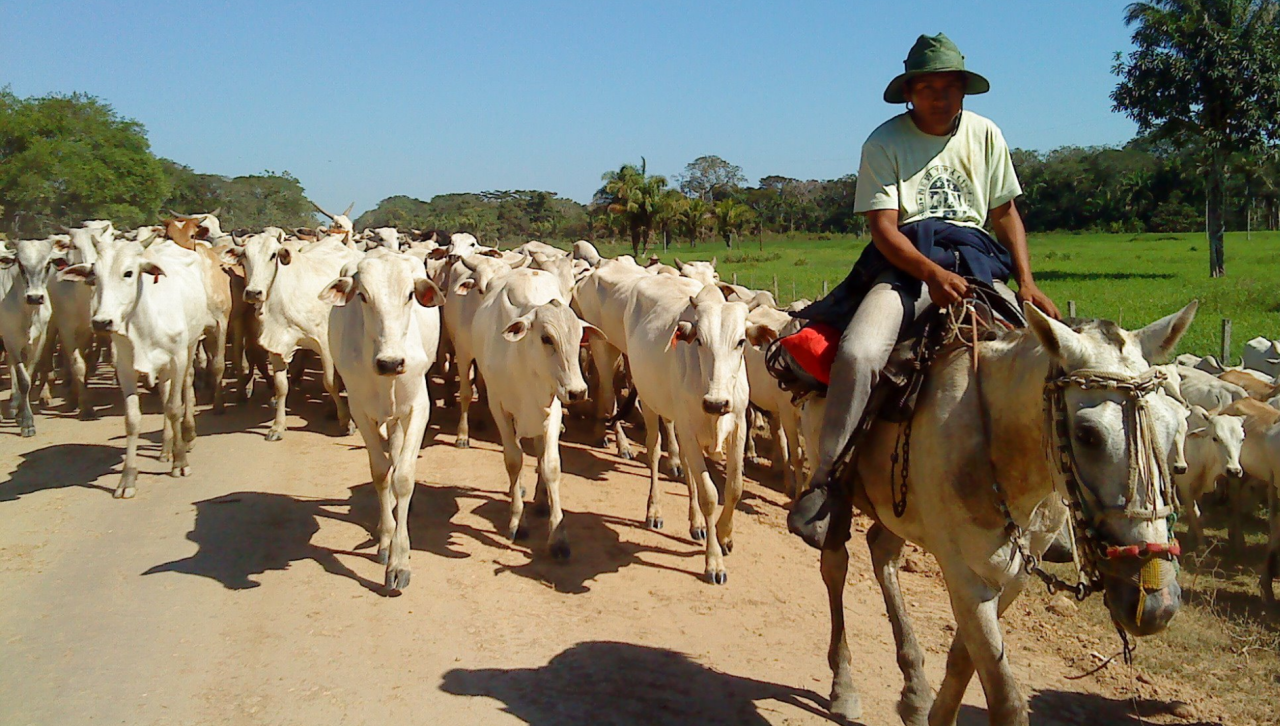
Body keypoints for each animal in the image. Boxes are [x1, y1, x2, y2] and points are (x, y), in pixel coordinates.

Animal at [220, 233, 360, 440]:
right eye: (244, 256)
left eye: (273, 255)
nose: (253, 292)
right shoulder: (275, 346)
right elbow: (281, 386)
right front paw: (277, 426)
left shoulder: (324, 344)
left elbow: (329, 382)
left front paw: (345, 420)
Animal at [320, 249, 445, 591]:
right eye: (362, 296)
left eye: (410, 295)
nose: (391, 363)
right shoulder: (360, 411)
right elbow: (380, 473)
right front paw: (387, 540)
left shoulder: (419, 407)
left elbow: (403, 477)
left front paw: (400, 562)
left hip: (399, 416)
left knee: (399, 456)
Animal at [471, 263, 599, 560]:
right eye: (546, 338)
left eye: (579, 338)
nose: (578, 391)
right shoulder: (499, 408)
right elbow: (514, 461)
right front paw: (518, 521)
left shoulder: (553, 409)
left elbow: (550, 465)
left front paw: (558, 537)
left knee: (541, 454)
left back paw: (541, 500)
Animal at [627, 277, 773, 586]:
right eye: (699, 341)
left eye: (741, 341)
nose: (716, 403)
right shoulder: (687, 427)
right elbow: (709, 495)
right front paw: (714, 562)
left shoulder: (738, 427)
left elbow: (734, 488)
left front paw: (725, 535)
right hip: (649, 402)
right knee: (654, 452)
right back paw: (654, 510)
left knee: (686, 468)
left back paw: (695, 524)